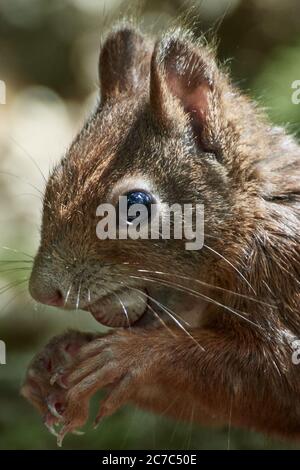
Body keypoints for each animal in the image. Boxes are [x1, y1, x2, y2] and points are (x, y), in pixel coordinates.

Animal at [21, 23, 300, 446]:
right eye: (54, 183)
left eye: (136, 205)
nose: (42, 292)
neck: (254, 218)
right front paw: (58, 356)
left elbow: (275, 376)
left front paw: (134, 355)